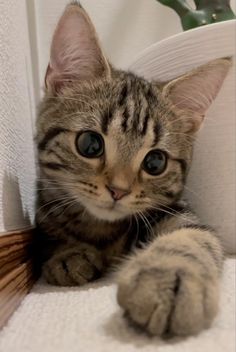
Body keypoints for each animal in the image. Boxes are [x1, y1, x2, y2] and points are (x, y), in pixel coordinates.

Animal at [36, 3, 231, 338]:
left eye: (155, 163)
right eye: (89, 144)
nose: (118, 190)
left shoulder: (177, 211)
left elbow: (193, 236)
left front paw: (170, 278)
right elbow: (51, 234)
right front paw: (67, 253)